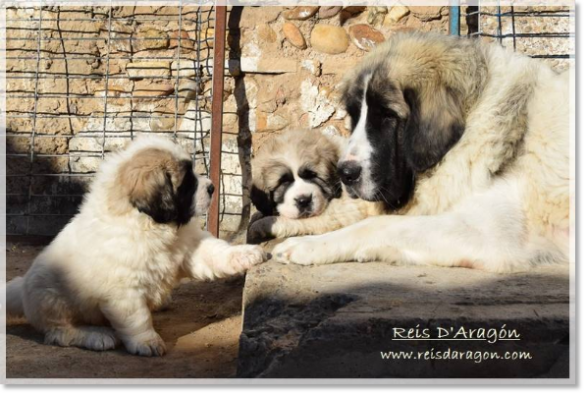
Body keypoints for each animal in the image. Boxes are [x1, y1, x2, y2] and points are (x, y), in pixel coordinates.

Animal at [4, 136, 264, 356]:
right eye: (186, 183)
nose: (211, 187)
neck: (152, 227)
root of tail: (22, 286)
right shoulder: (124, 290)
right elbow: (137, 319)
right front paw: (146, 342)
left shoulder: (191, 247)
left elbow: (217, 253)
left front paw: (248, 254)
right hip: (52, 298)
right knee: (59, 333)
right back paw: (95, 336)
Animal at [272, 32, 568, 274]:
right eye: (355, 116)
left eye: (388, 117)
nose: (344, 173)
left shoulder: (489, 234)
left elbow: (379, 225)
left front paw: (308, 246)